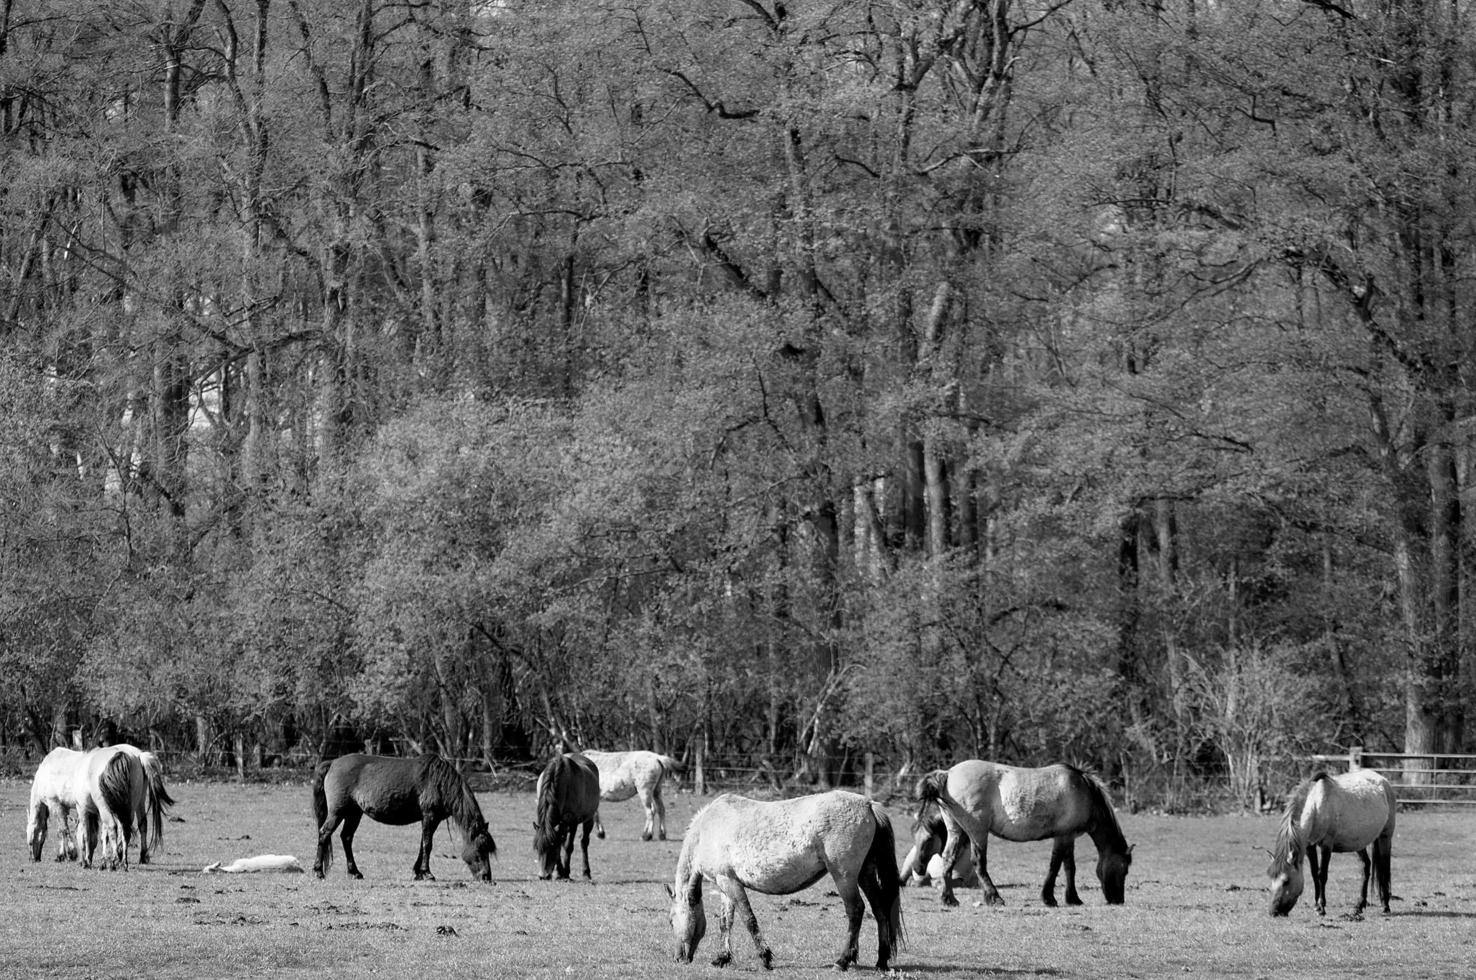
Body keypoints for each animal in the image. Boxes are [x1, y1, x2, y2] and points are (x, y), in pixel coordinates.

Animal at [309, 752, 495, 885]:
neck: (440, 782)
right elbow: (428, 845)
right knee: (324, 834)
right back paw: (319, 872)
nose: (487, 877)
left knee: (346, 837)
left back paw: (354, 872)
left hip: (354, 813)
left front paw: (418, 873)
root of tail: (333, 763)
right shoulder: (430, 817)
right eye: (480, 849)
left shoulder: (428, 820)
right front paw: (428, 874)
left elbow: (422, 845)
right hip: (338, 813)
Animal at [534, 749, 602, 879]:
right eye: (537, 848)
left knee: (584, 842)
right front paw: (559, 872)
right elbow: (560, 842)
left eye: (552, 847)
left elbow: (568, 846)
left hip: (588, 819)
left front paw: (565, 873)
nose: (543, 876)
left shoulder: (573, 820)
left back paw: (586, 872)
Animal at [667, 791, 897, 974]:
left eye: (671, 921)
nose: (678, 958)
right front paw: (721, 958)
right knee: (880, 910)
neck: (707, 829)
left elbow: (749, 919)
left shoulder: (731, 883)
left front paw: (765, 958)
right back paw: (881, 961)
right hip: (865, 874)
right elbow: (725, 922)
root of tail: (867, 804)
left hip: (844, 876)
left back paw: (841, 961)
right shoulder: (725, 884)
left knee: (856, 910)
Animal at [909, 755, 1139, 909]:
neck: (1083, 791)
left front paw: (1073, 898)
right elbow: (1056, 866)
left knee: (948, 859)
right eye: (1123, 869)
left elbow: (1069, 867)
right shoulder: (1063, 836)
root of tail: (947, 774)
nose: (1118, 900)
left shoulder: (1068, 836)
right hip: (977, 831)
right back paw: (994, 897)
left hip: (957, 830)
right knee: (978, 862)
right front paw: (1049, 898)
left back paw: (949, 898)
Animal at [1269, 767, 1393, 920]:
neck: (1316, 805)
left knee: (1385, 869)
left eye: (1286, 881)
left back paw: (1386, 906)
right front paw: (1316, 905)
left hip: (1385, 836)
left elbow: (1322, 875)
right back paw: (1359, 906)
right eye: (1271, 879)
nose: (1274, 912)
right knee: (1366, 866)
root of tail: (1383, 781)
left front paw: (1322, 907)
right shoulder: (1309, 846)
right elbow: (1314, 874)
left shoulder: (1326, 845)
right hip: (1359, 843)